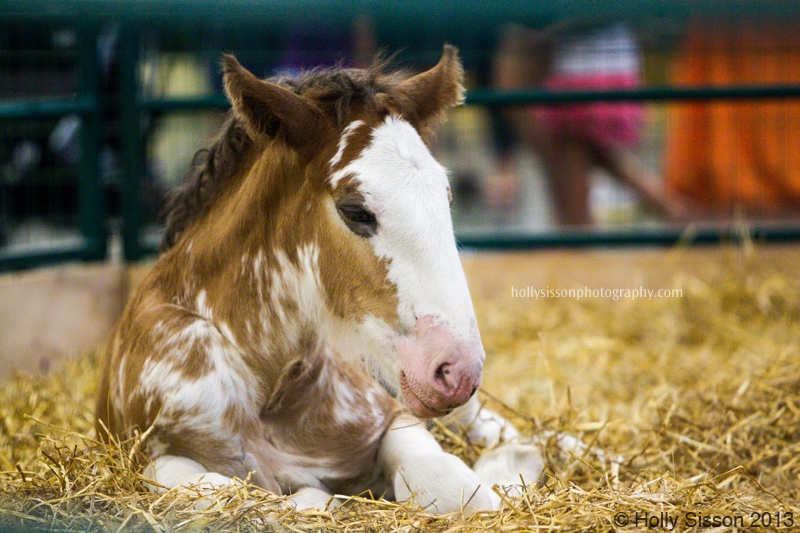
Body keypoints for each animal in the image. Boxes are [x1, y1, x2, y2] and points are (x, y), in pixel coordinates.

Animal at [96, 46, 543, 515]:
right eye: (356, 210)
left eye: (446, 195)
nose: (456, 370)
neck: (271, 387)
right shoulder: (153, 459)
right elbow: (244, 495)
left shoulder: (394, 417)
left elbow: (449, 485)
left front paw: (513, 465)